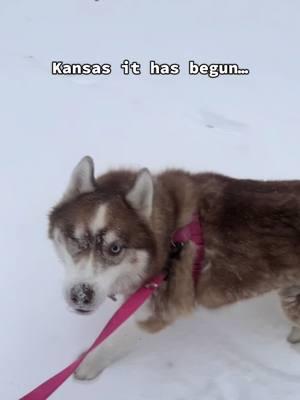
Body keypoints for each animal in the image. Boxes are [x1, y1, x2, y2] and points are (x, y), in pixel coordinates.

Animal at [48, 155, 300, 380]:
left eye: (115, 248)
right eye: (75, 240)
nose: (81, 295)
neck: (169, 238)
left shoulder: (158, 310)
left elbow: (115, 339)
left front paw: (87, 364)